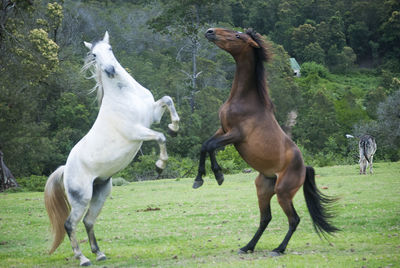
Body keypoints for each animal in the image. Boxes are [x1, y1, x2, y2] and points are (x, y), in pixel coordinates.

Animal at [44, 31, 180, 266]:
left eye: (110, 49)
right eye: (94, 55)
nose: (110, 70)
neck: (125, 95)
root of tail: (65, 169)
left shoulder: (152, 115)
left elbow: (167, 100)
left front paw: (174, 127)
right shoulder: (137, 131)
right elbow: (161, 137)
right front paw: (160, 165)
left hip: (101, 192)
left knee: (88, 221)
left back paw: (99, 253)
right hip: (81, 198)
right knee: (70, 224)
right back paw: (82, 258)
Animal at [193, 28, 338, 256]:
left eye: (238, 36)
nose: (210, 31)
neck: (245, 100)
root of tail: (304, 167)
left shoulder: (235, 134)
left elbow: (209, 146)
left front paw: (217, 175)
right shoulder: (222, 130)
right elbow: (205, 145)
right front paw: (200, 178)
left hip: (283, 192)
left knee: (294, 219)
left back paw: (278, 249)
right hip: (263, 188)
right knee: (265, 218)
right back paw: (248, 246)